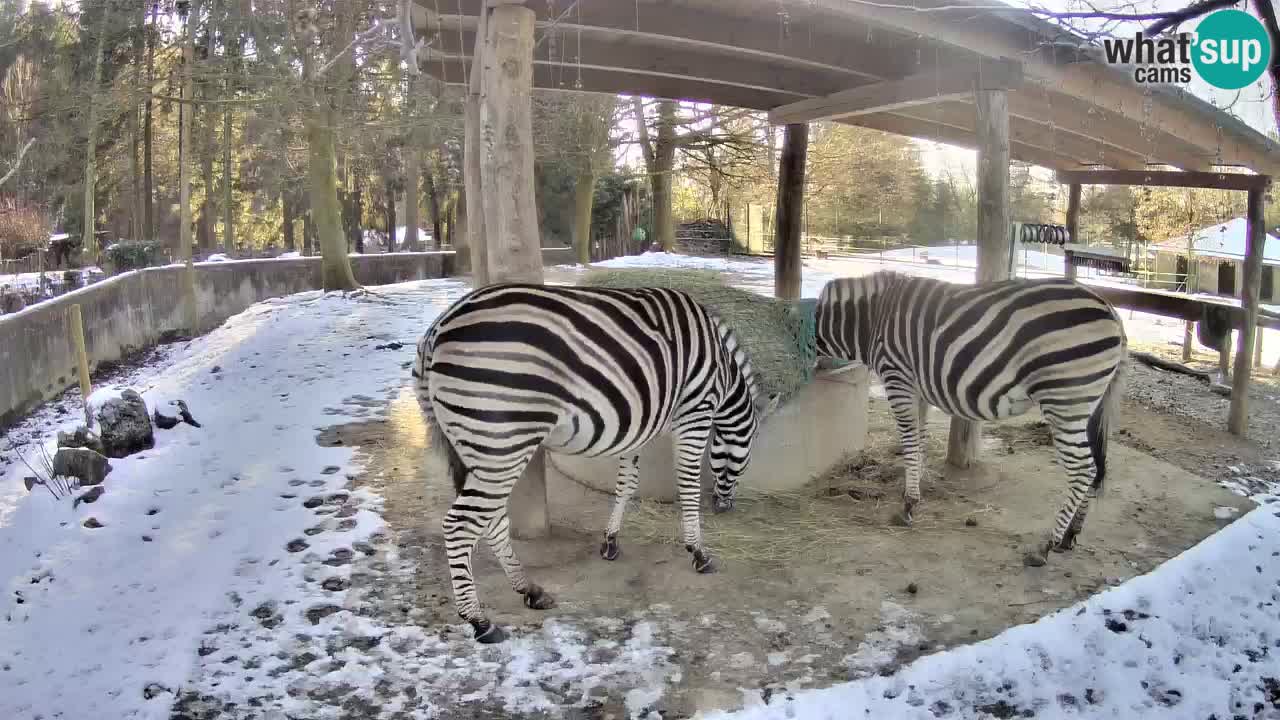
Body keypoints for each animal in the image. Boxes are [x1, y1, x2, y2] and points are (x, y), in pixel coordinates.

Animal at [417, 280, 778, 638]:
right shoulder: (695, 411)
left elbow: (626, 483)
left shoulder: (640, 423)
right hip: (503, 441)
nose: (724, 507)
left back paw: (530, 590)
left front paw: (610, 542)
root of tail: (438, 327)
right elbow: (688, 482)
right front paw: (698, 552)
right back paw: (479, 621)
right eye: (749, 447)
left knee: (491, 520)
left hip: (478, 445)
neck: (722, 371)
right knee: (460, 524)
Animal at [814, 266, 1126, 563]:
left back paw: (1045, 546)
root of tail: (1112, 311)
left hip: (1064, 399)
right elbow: (919, 442)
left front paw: (908, 505)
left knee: (1082, 469)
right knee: (1095, 468)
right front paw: (914, 494)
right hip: (1086, 406)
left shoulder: (897, 378)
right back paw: (1070, 535)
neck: (868, 320)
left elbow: (910, 444)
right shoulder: (917, 389)